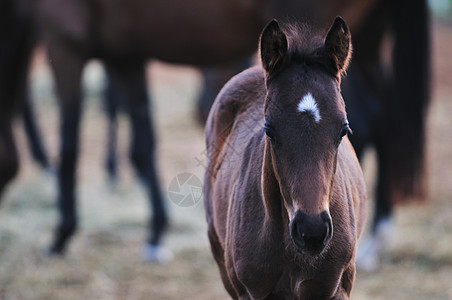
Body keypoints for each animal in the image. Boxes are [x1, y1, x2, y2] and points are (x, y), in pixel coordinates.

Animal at [0, 0, 430, 264]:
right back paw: (375, 236)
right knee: (384, 118)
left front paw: (61, 235)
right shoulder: (124, 54)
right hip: (359, 41)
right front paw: (155, 234)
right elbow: (143, 141)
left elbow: (69, 142)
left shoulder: (63, 41)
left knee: (373, 119)